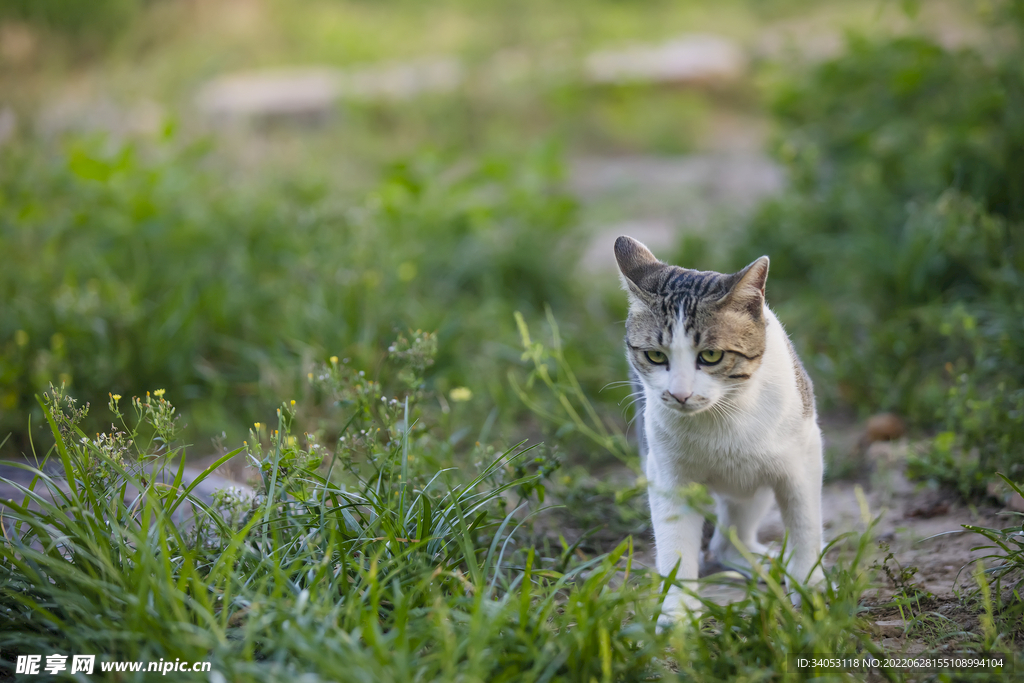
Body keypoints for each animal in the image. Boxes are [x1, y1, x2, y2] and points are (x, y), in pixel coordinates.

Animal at [610, 235, 827, 626]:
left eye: (710, 356)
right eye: (655, 356)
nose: (679, 394)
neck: (723, 416)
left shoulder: (803, 458)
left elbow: (805, 526)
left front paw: (809, 590)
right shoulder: (666, 473)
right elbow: (675, 541)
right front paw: (677, 612)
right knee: (722, 544)